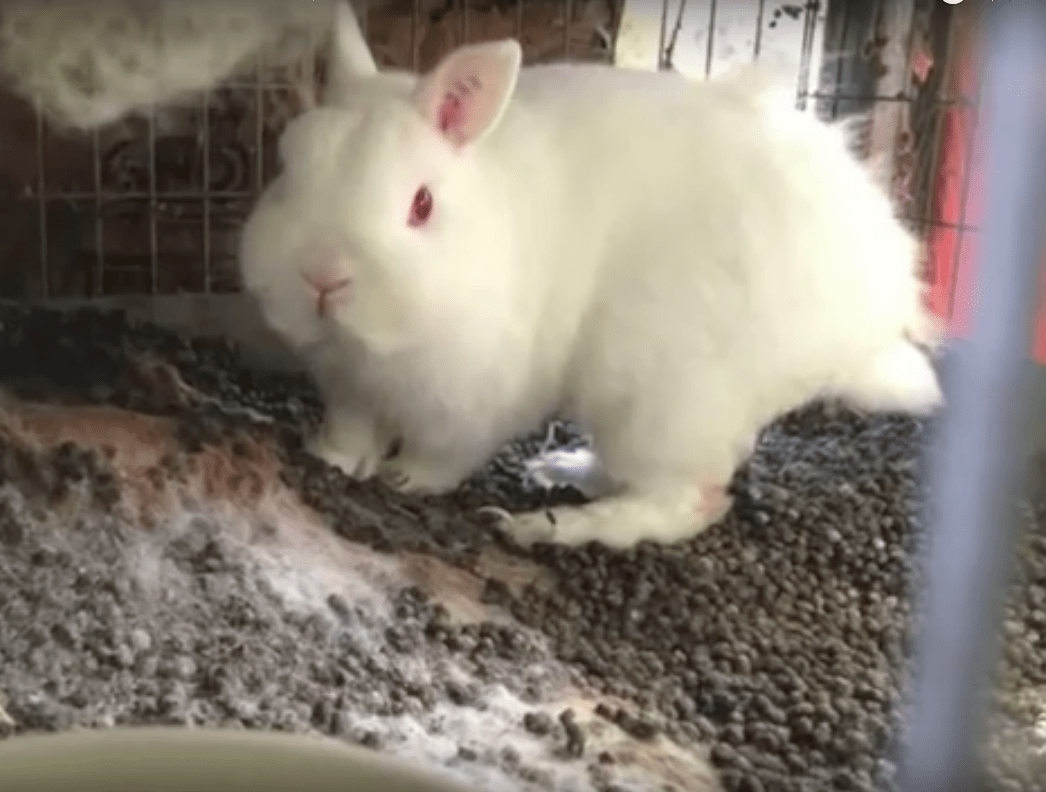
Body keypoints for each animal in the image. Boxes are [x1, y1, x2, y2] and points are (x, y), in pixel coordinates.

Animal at [238, 1, 944, 550]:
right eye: (287, 167)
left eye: (421, 205)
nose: (323, 278)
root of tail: (876, 308)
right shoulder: (345, 384)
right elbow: (350, 430)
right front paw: (332, 459)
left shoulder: (476, 402)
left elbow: (443, 453)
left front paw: (405, 479)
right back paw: (564, 469)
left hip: (664, 399)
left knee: (689, 499)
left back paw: (550, 525)